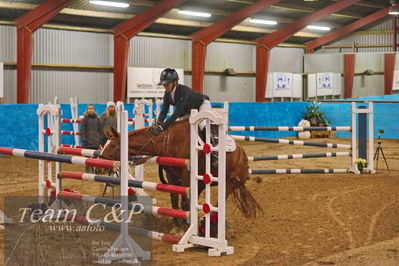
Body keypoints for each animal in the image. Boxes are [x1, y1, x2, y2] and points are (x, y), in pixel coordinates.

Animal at [101, 119, 262, 223]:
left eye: (113, 145)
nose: (100, 162)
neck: (166, 141)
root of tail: (244, 157)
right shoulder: (172, 175)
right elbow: (175, 199)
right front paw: (177, 223)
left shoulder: (186, 176)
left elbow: (184, 202)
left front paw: (184, 226)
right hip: (202, 183)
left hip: (230, 183)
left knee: (217, 203)